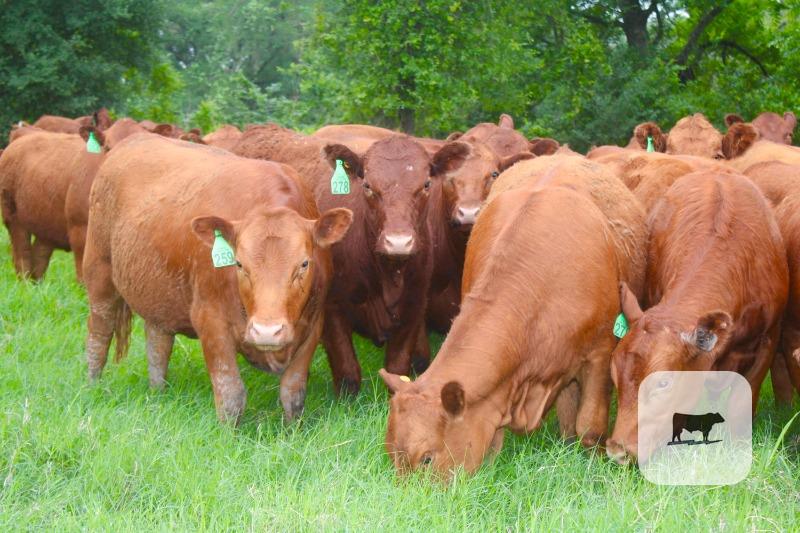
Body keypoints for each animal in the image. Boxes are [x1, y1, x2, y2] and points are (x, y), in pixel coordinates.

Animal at [83, 133, 351, 423]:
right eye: (239, 264)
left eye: (304, 263)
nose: (266, 331)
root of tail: (133, 139)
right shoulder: (210, 320)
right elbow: (231, 393)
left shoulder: (314, 324)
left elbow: (293, 393)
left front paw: (293, 429)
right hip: (99, 273)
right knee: (99, 332)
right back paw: (93, 385)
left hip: (157, 293)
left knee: (157, 342)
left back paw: (157, 392)